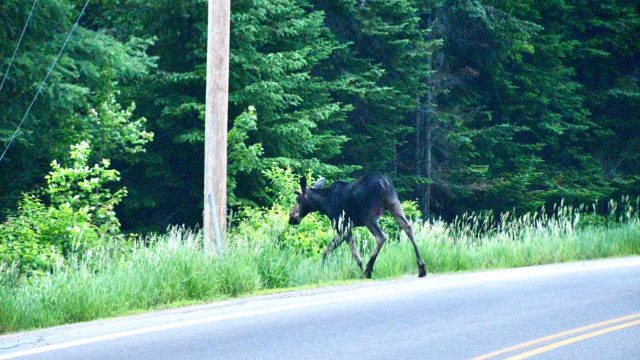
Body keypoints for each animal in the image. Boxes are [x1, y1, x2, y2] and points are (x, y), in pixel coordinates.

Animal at [288, 174, 428, 278]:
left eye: (298, 200)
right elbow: (353, 252)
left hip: (368, 215)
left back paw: (368, 270)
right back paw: (421, 267)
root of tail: (385, 183)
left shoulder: (342, 227)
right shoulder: (347, 228)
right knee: (408, 227)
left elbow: (332, 251)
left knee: (381, 237)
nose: (291, 217)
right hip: (393, 203)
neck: (323, 204)